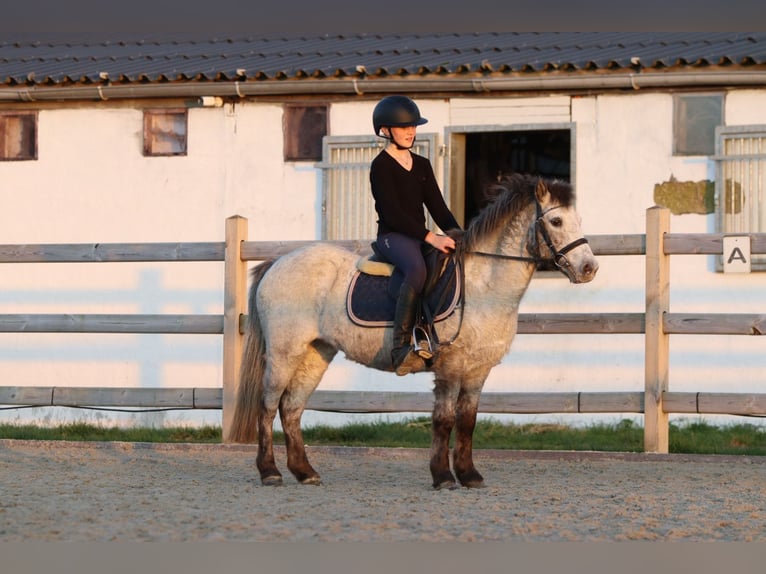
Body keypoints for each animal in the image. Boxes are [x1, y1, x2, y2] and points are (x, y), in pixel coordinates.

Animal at [230, 173, 598, 489]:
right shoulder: (450, 366)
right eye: (556, 222)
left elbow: (468, 421)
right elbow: (444, 420)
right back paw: (270, 472)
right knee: (268, 405)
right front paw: (443, 477)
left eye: (579, 221)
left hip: (316, 353)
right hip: (284, 352)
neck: (485, 285)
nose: (589, 269)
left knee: (292, 407)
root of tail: (279, 262)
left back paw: (305, 472)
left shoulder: (478, 370)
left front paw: (469, 475)